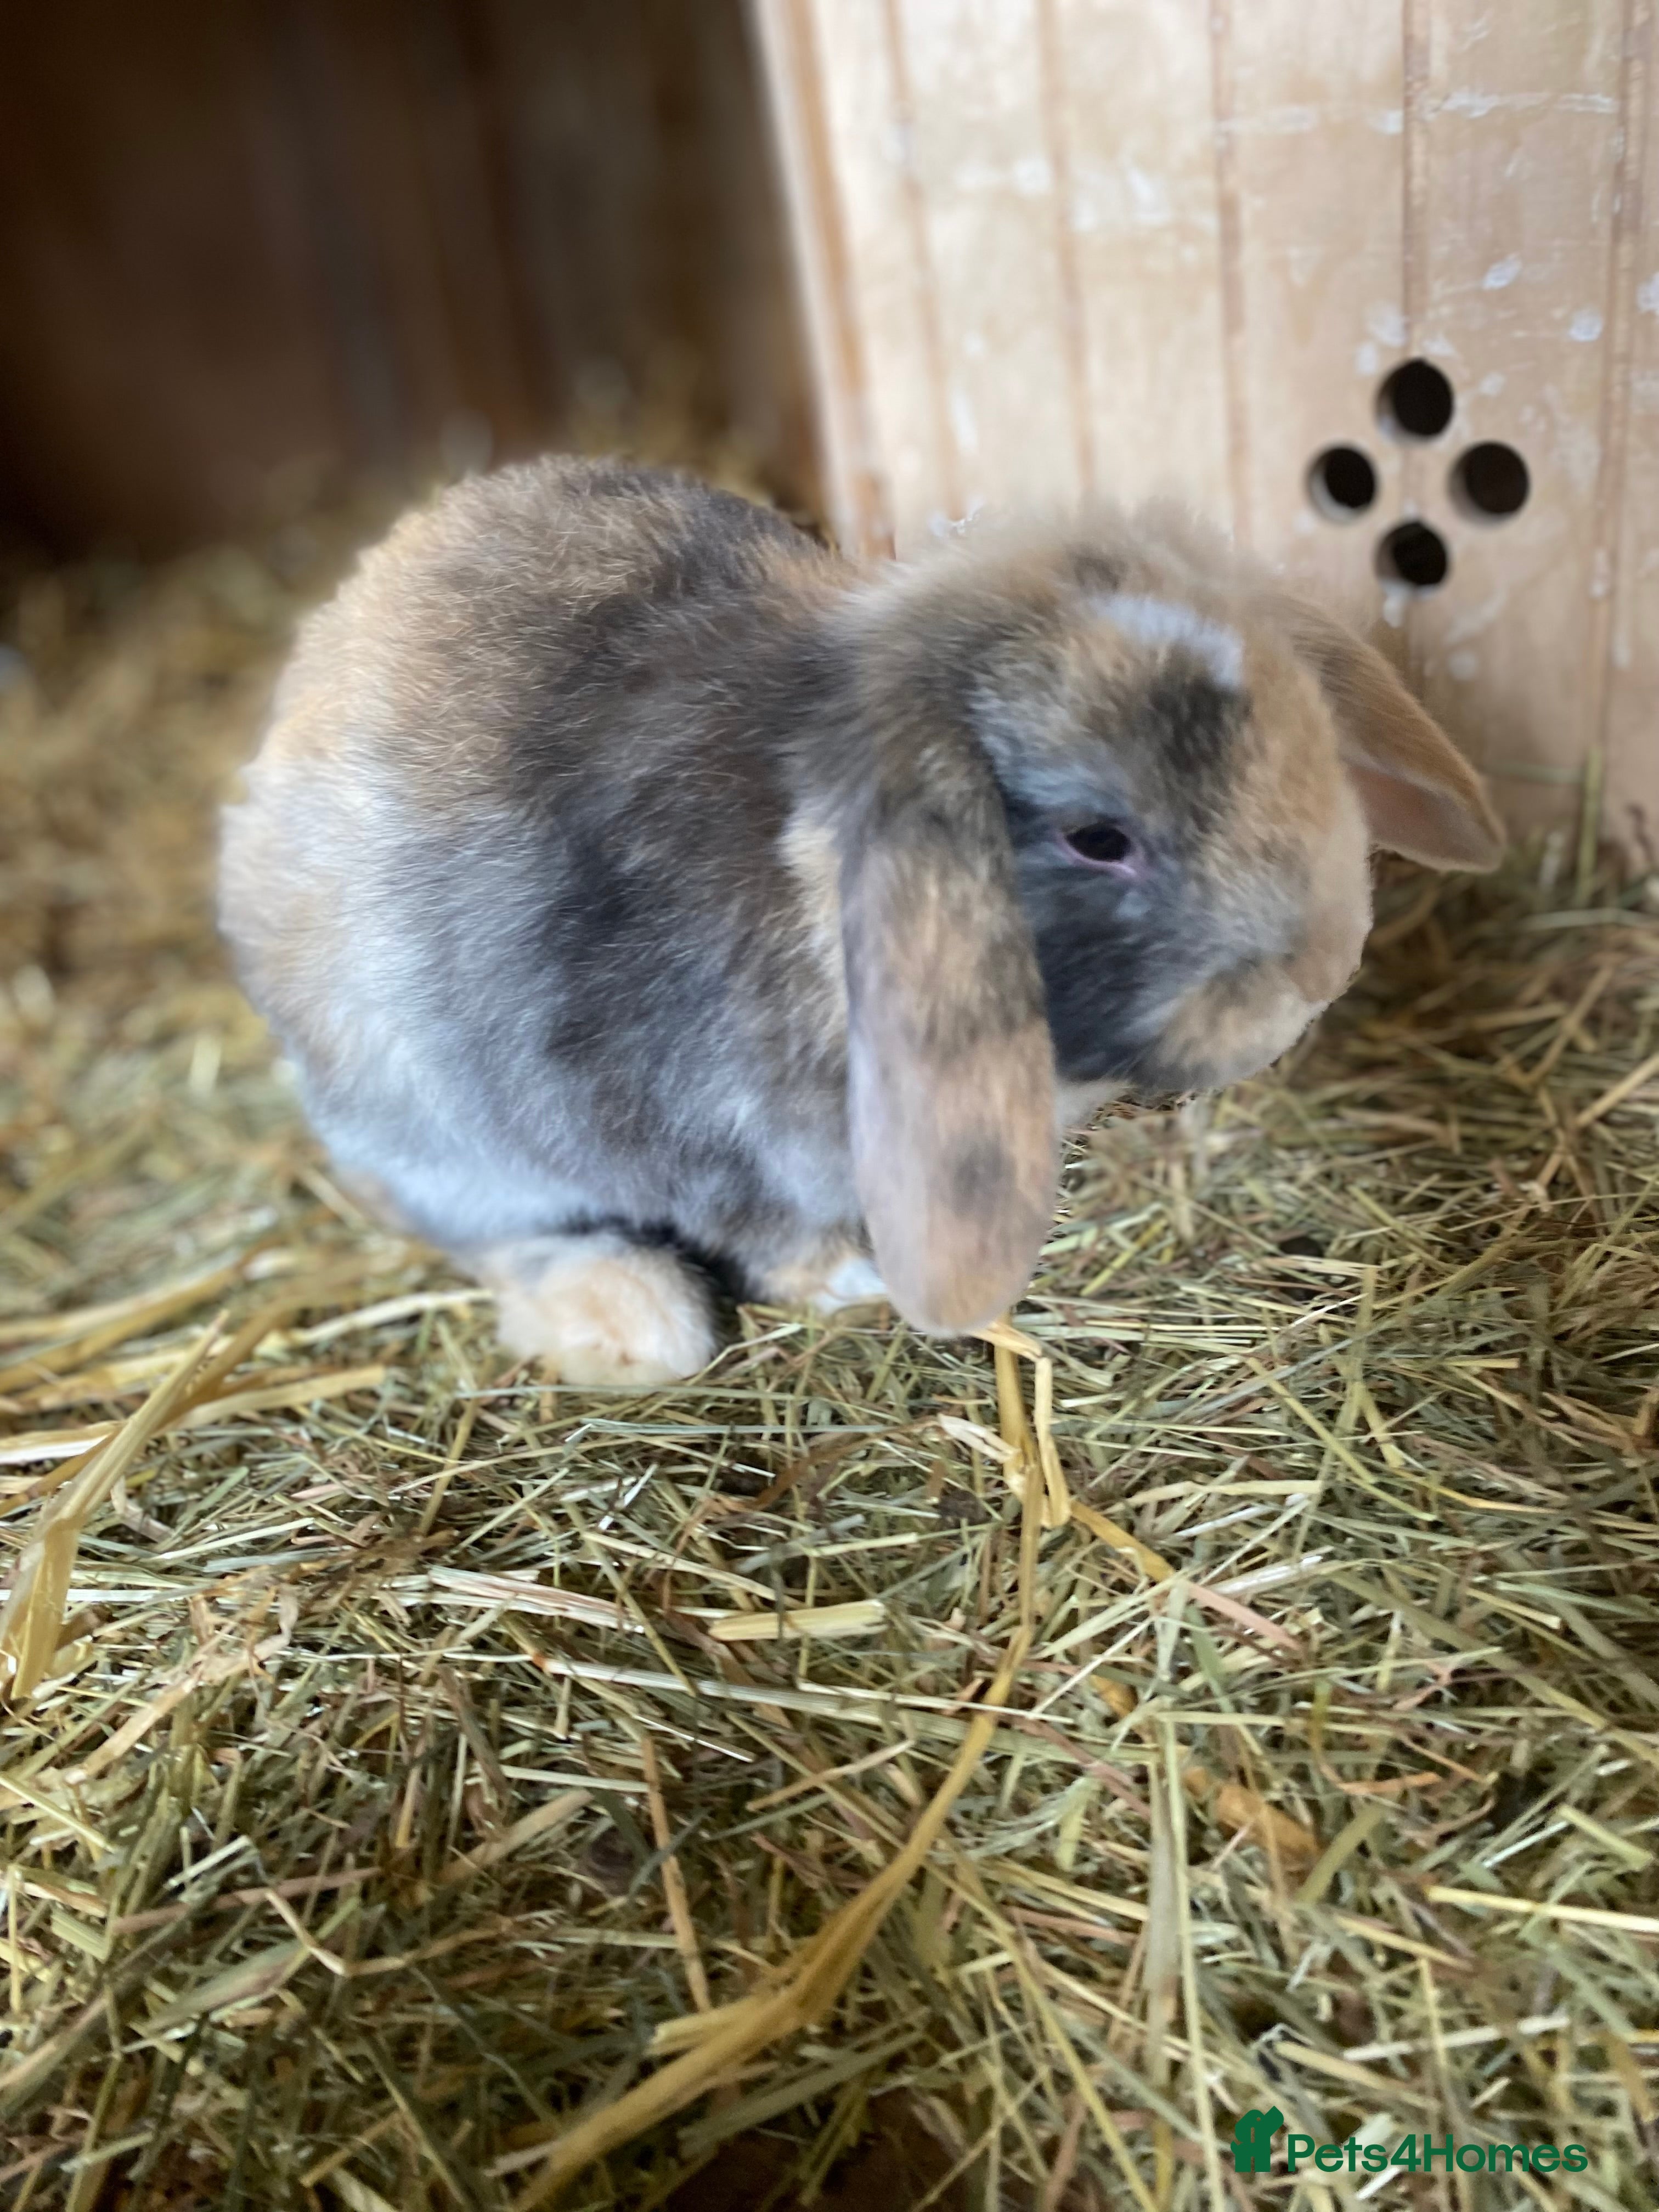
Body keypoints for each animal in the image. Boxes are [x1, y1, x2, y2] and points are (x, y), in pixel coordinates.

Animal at [219, 456, 1504, 1387]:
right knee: (484, 1231)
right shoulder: (695, 1122)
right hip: (424, 1122)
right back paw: (632, 1320)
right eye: (1097, 837)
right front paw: (863, 1289)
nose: (1322, 964)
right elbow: (763, 1227)